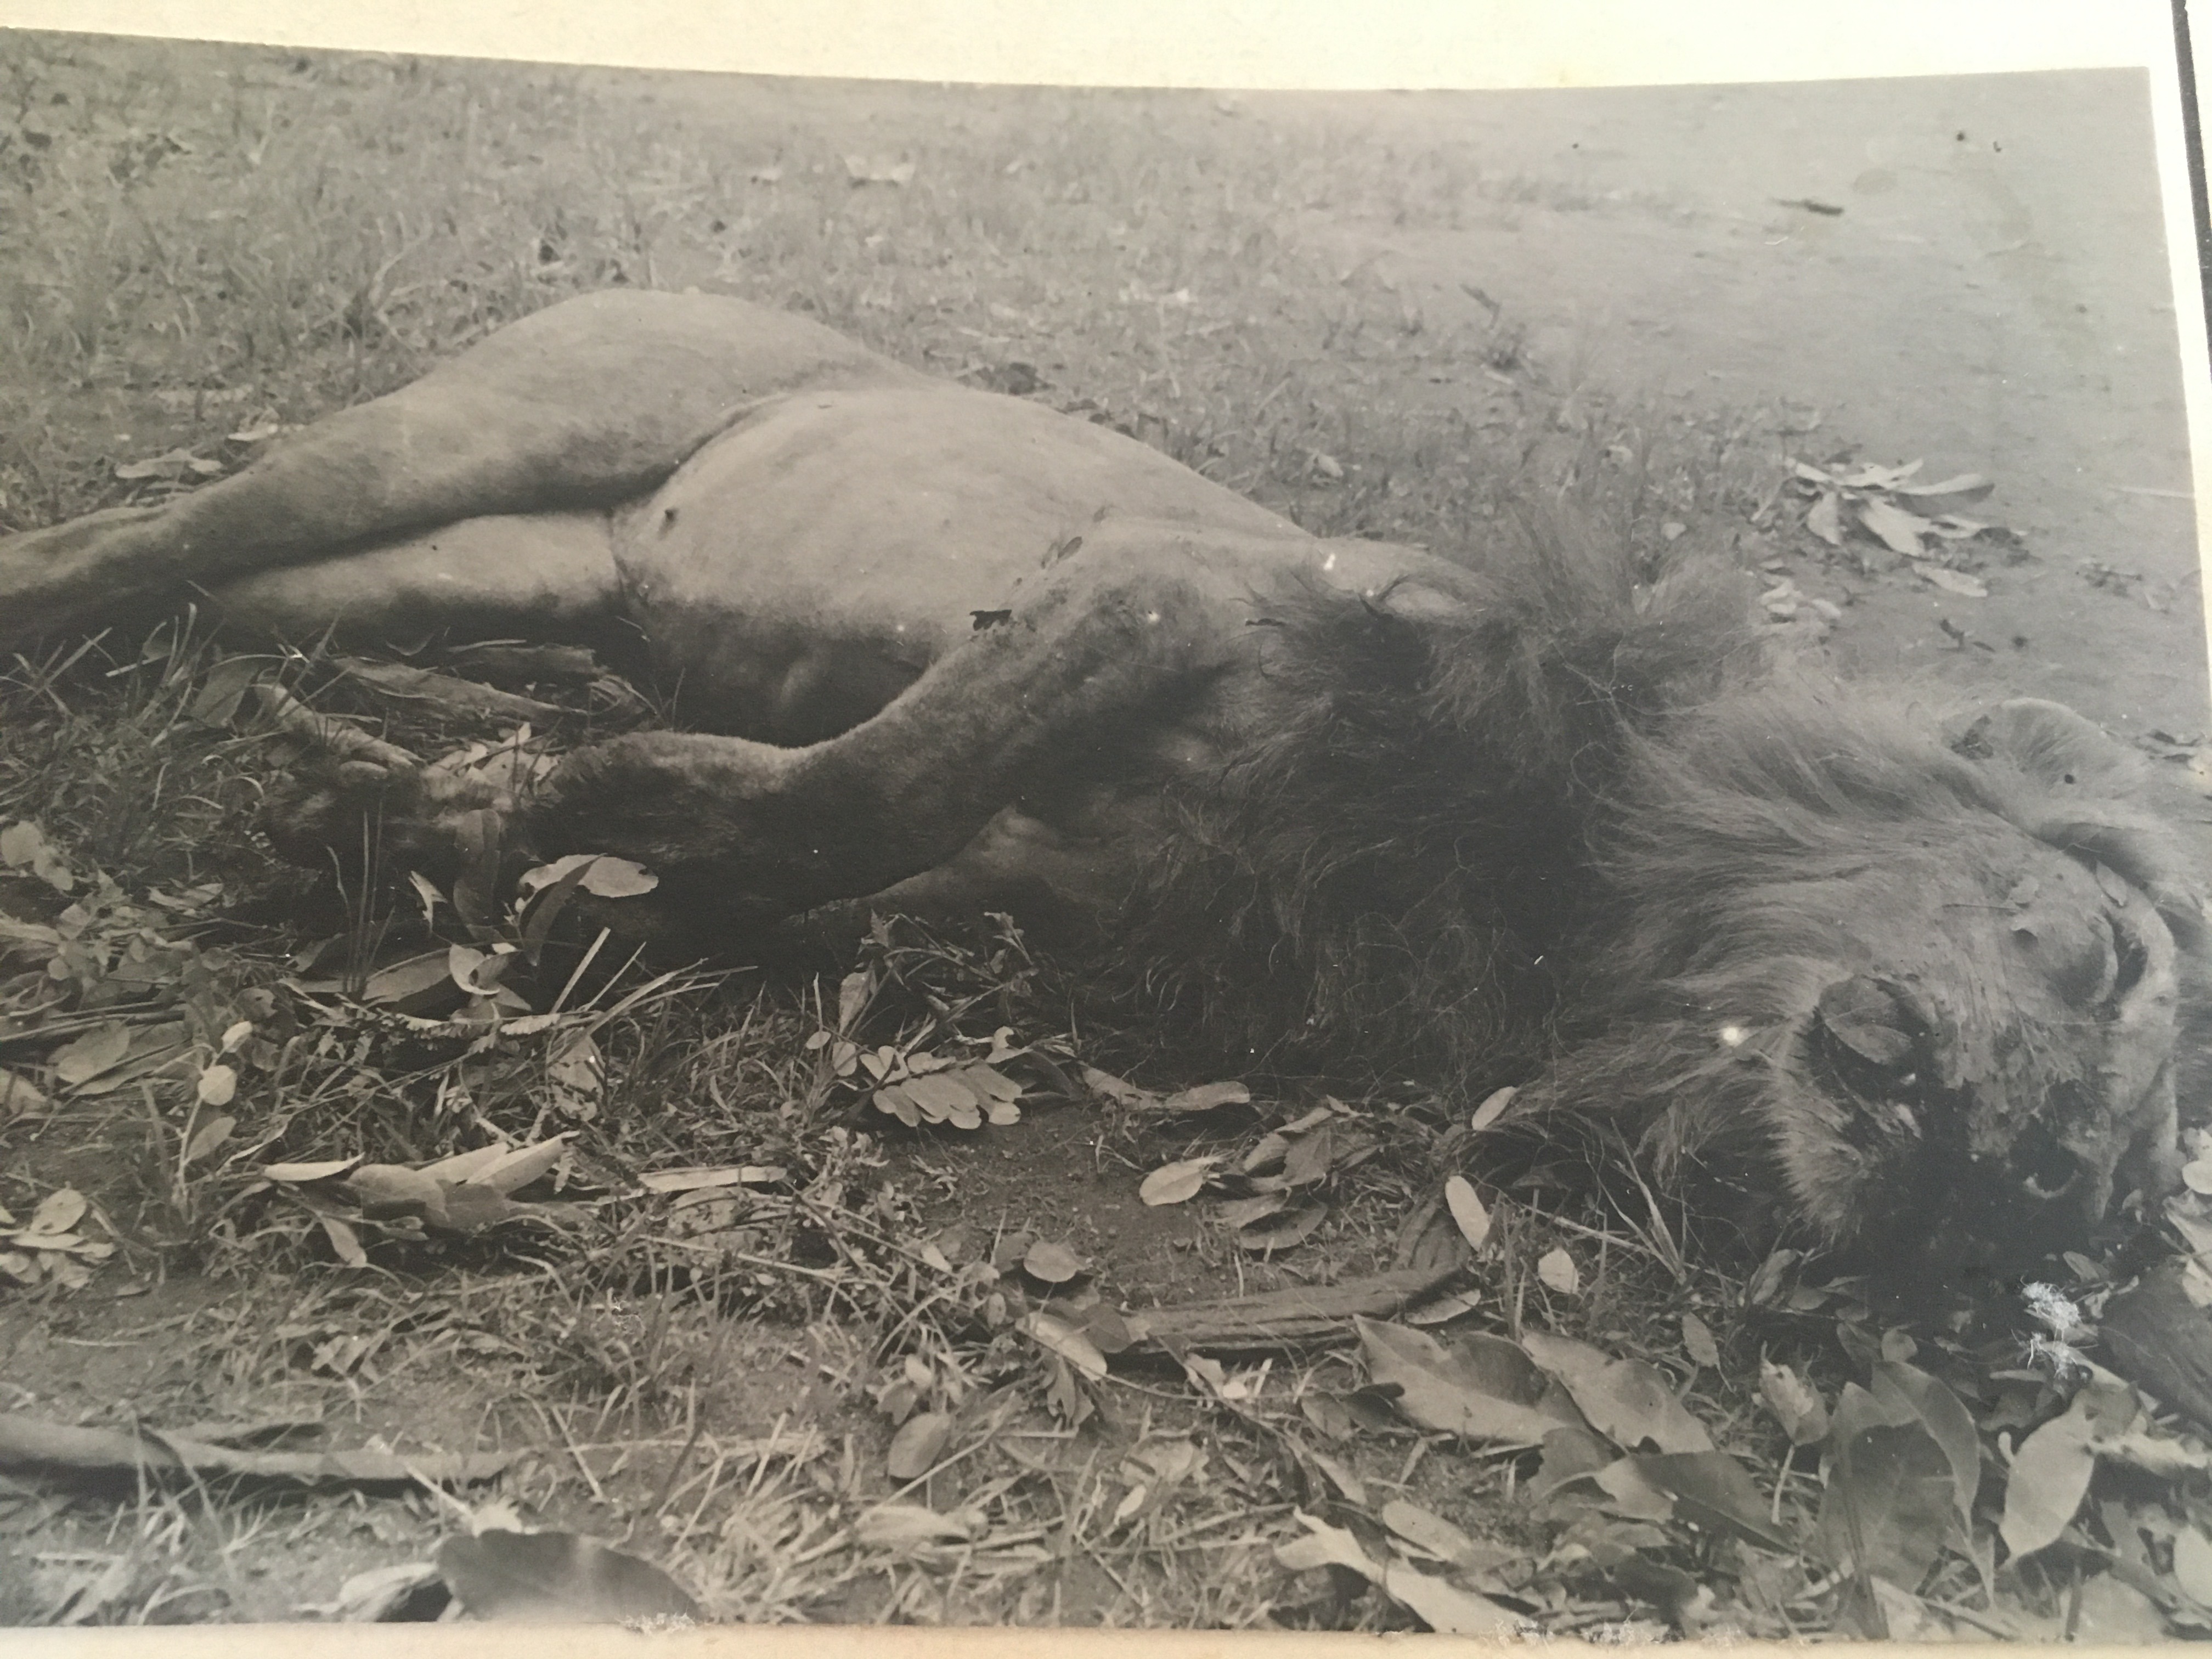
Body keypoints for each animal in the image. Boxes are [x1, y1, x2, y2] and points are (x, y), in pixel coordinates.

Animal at [0, 290, 2203, 1274]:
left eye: (2028, 1209)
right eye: (2093, 952)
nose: (1965, 1123)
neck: (1576, 891)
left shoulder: (1015, 870)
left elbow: (757, 837)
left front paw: (457, 817)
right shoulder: (1156, 587)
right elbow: (853, 785)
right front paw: (437, 814)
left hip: (472, 560)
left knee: (219, 603)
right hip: (458, 442)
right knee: (113, 549)